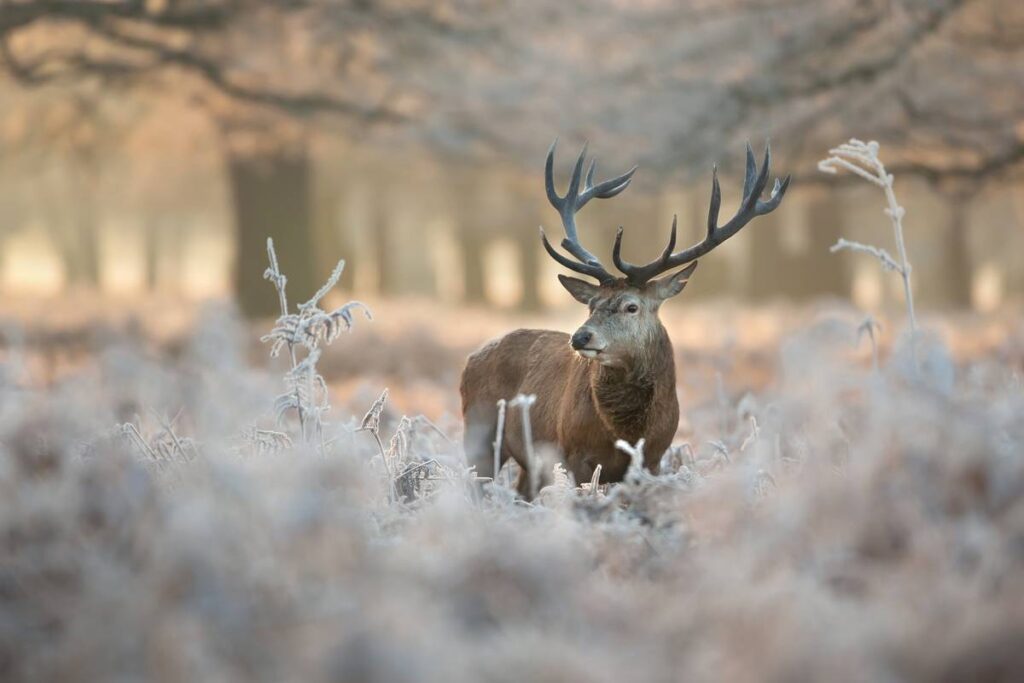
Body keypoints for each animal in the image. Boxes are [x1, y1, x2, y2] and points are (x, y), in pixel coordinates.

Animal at [460, 140, 790, 498]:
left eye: (631, 306)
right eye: (591, 305)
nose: (580, 337)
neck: (627, 432)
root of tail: (471, 358)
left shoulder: (654, 458)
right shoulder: (573, 454)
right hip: (478, 433)